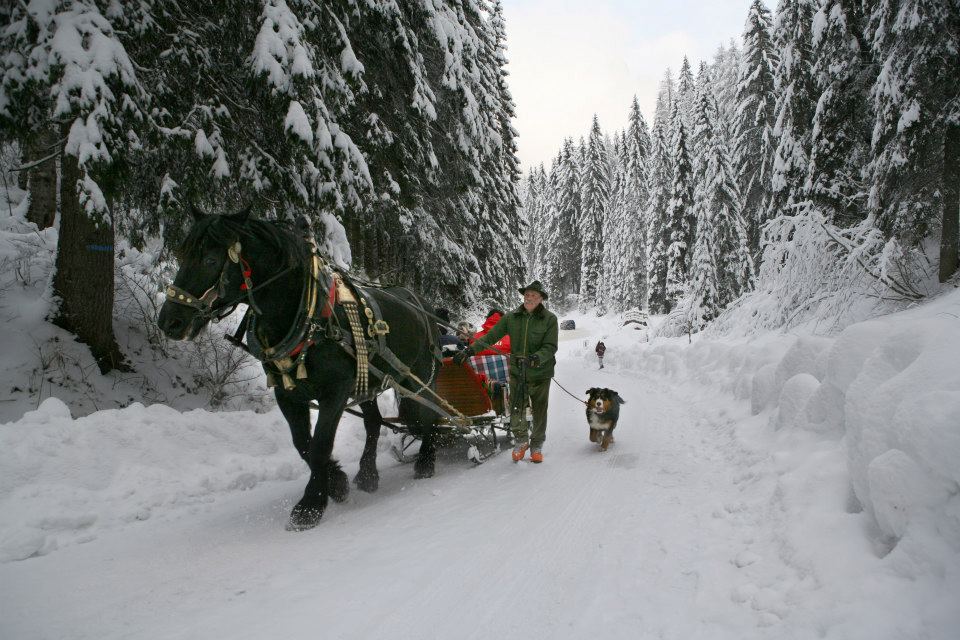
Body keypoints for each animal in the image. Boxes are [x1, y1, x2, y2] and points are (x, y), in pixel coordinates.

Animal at [158, 210, 442, 528]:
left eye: (209, 260)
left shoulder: (335, 392)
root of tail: (421, 302)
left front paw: (310, 506)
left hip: (419, 378)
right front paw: (336, 482)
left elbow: (319, 446)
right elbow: (303, 444)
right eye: (183, 255)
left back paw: (426, 460)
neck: (308, 313)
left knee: (429, 415)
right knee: (374, 423)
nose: (169, 321)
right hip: (368, 381)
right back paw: (368, 474)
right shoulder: (288, 394)